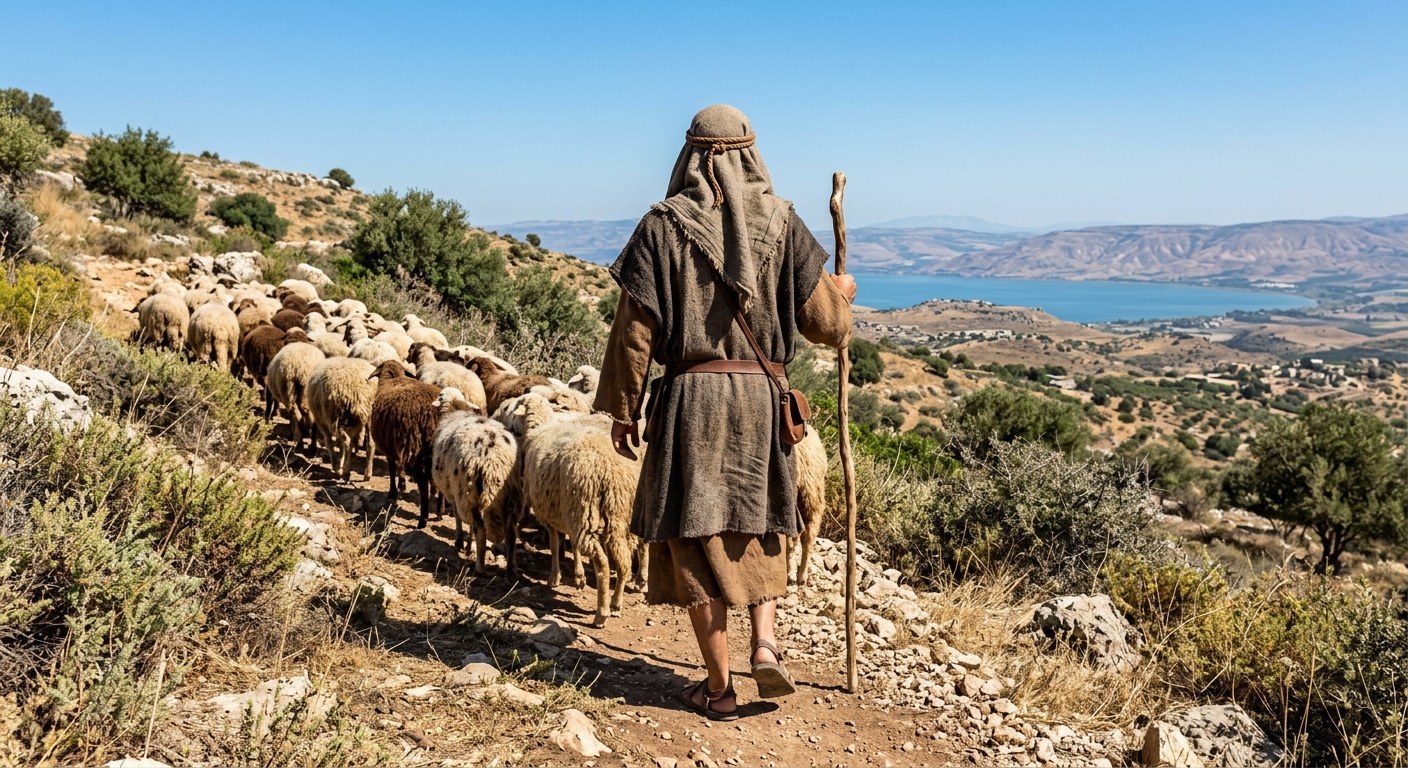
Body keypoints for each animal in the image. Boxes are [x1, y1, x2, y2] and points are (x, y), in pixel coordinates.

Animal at [368, 359, 443, 528]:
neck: (392, 378)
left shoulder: (389, 448)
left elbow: (392, 469)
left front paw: (393, 493)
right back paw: (439, 513)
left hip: (415, 448)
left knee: (423, 482)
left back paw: (423, 520)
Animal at [430, 387, 519, 574]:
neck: (455, 410)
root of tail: (495, 461)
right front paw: (467, 546)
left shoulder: (455, 492)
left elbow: (458, 518)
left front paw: (461, 543)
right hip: (512, 497)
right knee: (511, 533)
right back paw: (511, 569)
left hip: (470, 491)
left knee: (481, 530)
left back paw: (479, 567)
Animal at [520, 410, 643, 627]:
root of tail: (612, 474)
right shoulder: (567, 514)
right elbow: (573, 545)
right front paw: (579, 577)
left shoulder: (551, 517)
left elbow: (554, 545)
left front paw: (554, 578)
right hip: (619, 520)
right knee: (624, 562)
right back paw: (616, 603)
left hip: (586, 514)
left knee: (603, 565)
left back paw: (602, 613)